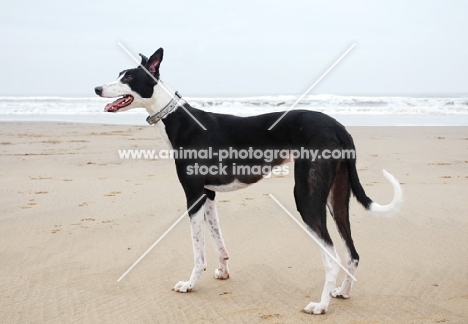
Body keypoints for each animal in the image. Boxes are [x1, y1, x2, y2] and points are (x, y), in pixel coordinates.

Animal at [95, 47, 402, 314]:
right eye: (120, 74)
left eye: (128, 78)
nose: (97, 89)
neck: (179, 119)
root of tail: (339, 127)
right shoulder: (209, 194)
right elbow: (217, 240)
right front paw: (223, 271)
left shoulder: (193, 195)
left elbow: (198, 250)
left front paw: (190, 284)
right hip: (337, 197)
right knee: (352, 252)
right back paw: (343, 292)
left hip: (306, 197)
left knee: (332, 256)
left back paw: (321, 305)